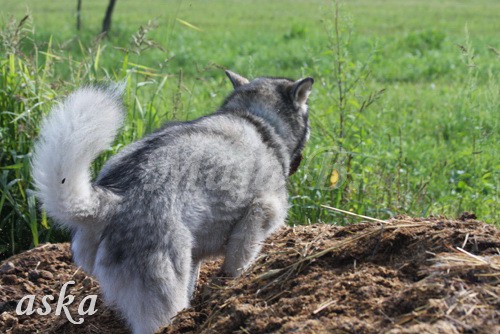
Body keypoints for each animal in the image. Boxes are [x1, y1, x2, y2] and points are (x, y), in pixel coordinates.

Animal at [31, 70, 312, 332]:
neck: (260, 121)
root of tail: (114, 199)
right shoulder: (257, 217)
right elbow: (236, 265)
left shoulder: (194, 258)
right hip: (161, 297)